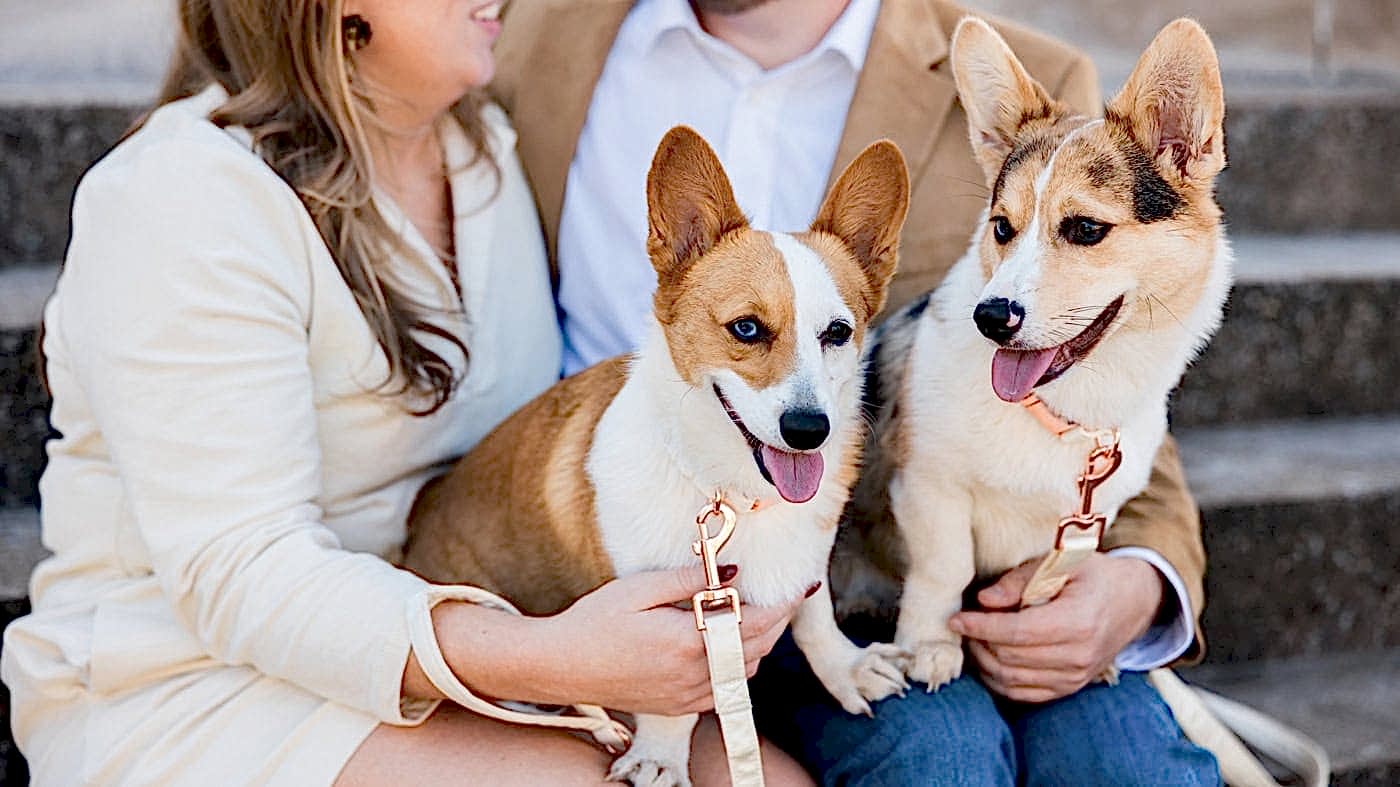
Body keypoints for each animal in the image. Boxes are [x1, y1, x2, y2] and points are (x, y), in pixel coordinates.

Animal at [400, 125, 912, 778]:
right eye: (747, 328)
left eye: (838, 333)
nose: (809, 430)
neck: (733, 496)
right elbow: (671, 701)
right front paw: (662, 757)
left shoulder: (807, 566)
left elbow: (815, 615)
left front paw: (845, 668)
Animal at [834, 12, 1232, 686]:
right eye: (1002, 228)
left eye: (1086, 229)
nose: (991, 318)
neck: (1062, 411)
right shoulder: (930, 487)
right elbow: (945, 570)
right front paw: (930, 645)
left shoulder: (1079, 529)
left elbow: (1046, 584)